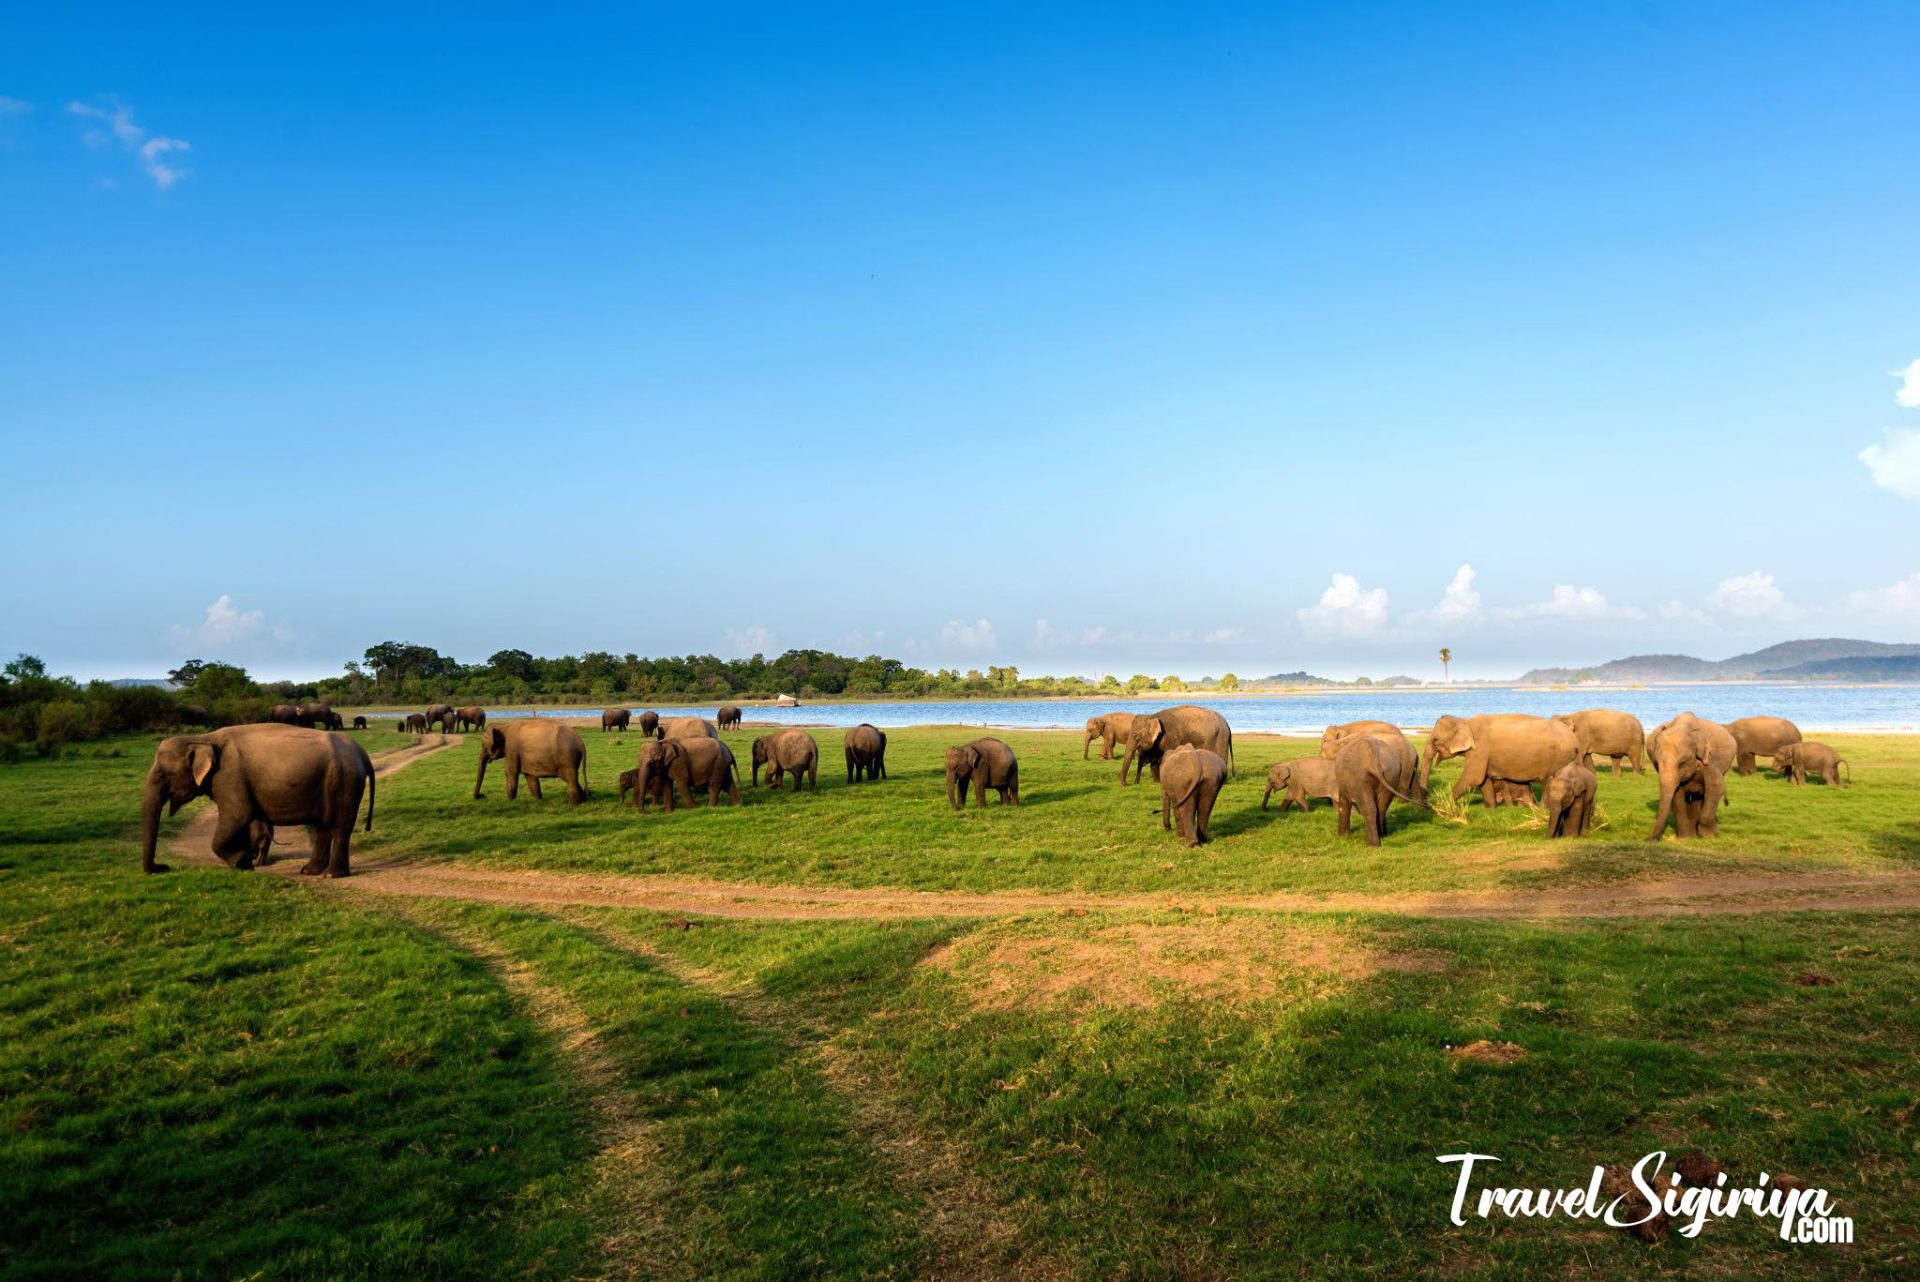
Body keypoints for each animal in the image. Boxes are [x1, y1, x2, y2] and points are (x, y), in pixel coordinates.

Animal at [141, 724, 374, 876]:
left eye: (162, 775)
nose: (163, 868)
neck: (203, 738)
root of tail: (361, 752)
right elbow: (240, 822)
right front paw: (246, 864)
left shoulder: (228, 776)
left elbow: (239, 815)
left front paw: (242, 862)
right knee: (323, 828)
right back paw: (309, 871)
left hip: (345, 782)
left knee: (339, 829)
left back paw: (332, 875)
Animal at [1419, 714, 1580, 809]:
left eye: (1435, 740)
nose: (1427, 806)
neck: (1465, 721)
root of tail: (1574, 740)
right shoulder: (1483, 755)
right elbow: (1483, 780)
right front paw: (1491, 808)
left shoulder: (1480, 749)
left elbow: (1473, 777)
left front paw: (1440, 805)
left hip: (1559, 759)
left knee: (1550, 782)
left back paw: (1542, 810)